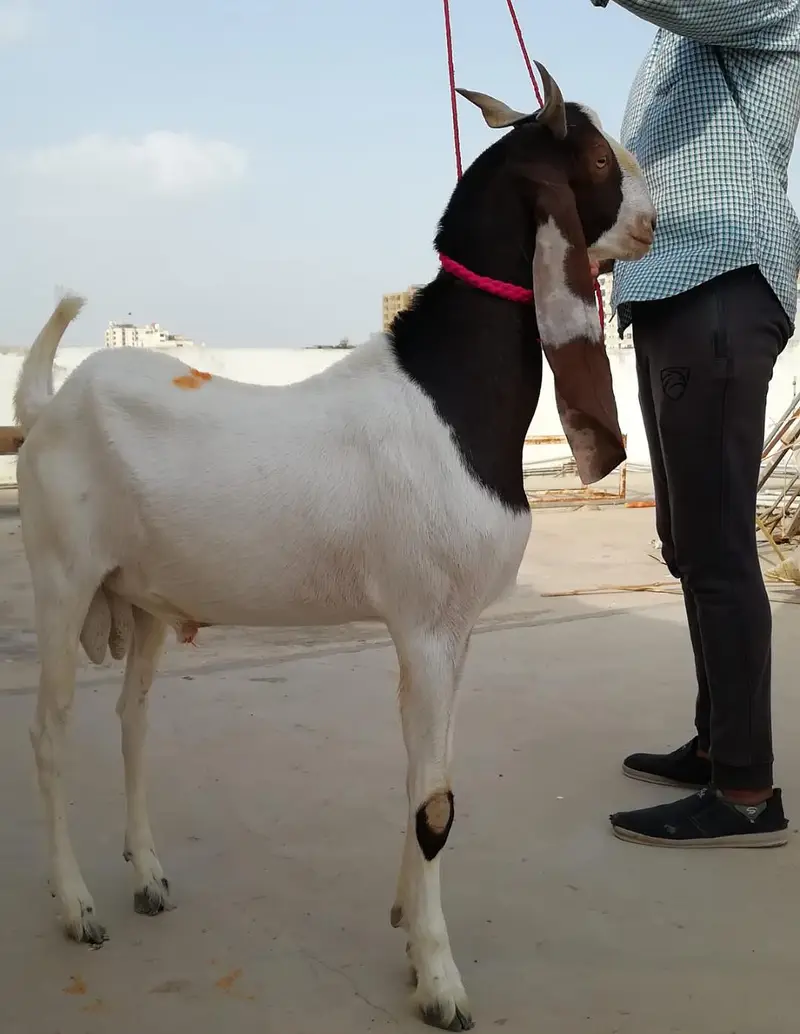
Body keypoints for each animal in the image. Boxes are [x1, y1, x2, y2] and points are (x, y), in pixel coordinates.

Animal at [14, 63, 655, 1030]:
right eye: (594, 159)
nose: (654, 218)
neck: (448, 393)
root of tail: (50, 400)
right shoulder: (424, 624)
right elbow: (436, 806)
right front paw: (439, 982)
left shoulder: (454, 630)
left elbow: (424, 781)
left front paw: (406, 929)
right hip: (62, 579)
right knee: (51, 737)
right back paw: (77, 906)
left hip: (146, 594)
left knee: (133, 723)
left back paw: (149, 877)